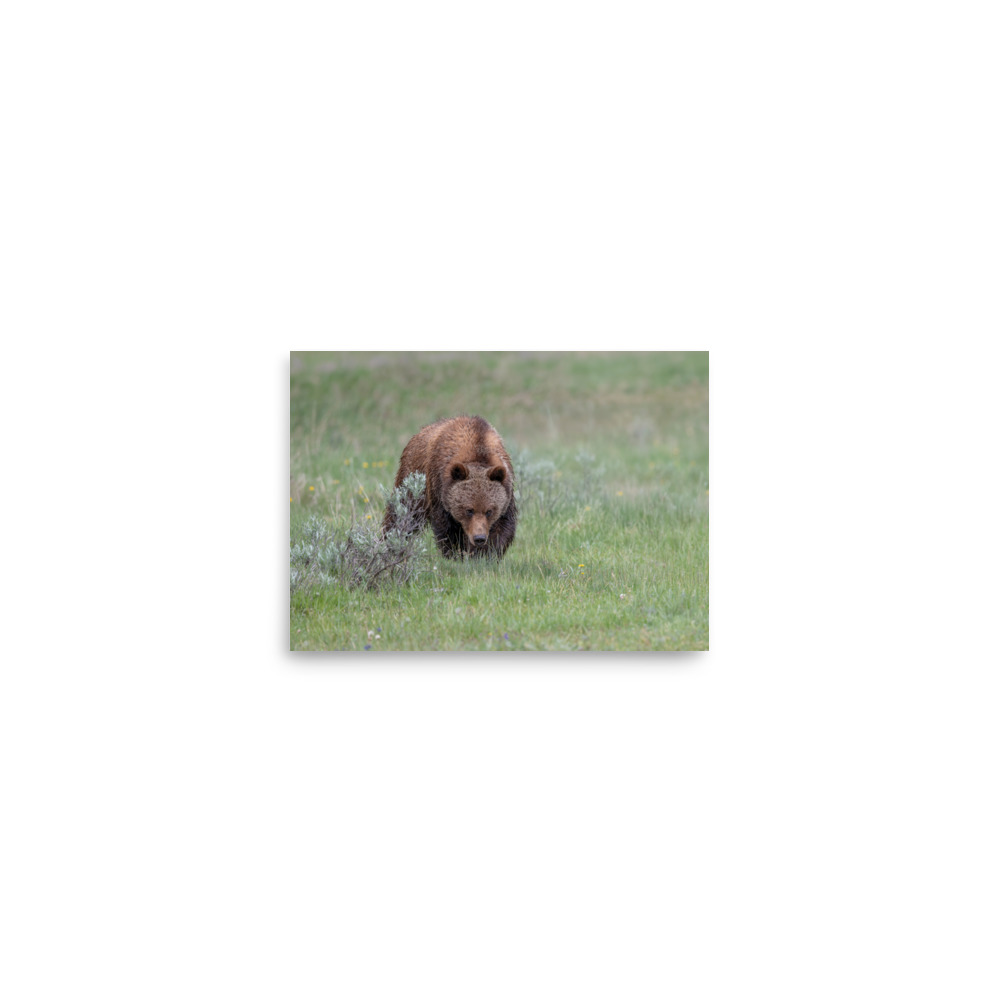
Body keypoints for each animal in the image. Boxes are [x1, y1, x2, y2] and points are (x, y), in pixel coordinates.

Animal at [382, 415, 517, 559]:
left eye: (489, 511)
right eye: (469, 510)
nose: (479, 538)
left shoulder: (506, 492)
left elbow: (502, 527)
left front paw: (484, 554)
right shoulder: (439, 488)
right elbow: (447, 528)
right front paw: (456, 554)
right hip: (413, 478)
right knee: (402, 513)